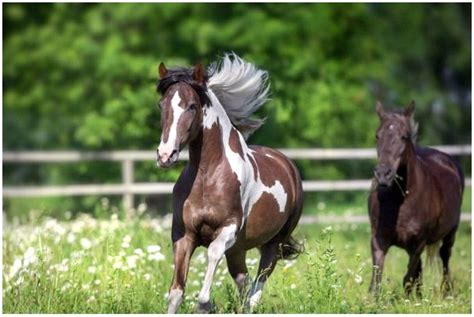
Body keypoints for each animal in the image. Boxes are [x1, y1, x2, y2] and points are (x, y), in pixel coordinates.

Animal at [156, 53, 304, 312]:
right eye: (161, 105)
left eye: (192, 106)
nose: (165, 155)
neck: (208, 176)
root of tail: (287, 165)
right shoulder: (183, 234)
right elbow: (175, 293)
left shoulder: (228, 229)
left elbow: (213, 253)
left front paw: (205, 303)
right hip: (238, 251)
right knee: (244, 286)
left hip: (272, 244)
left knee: (257, 288)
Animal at [368, 101, 464, 296]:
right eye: (377, 135)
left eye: (403, 137)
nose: (383, 174)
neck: (400, 201)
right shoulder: (378, 240)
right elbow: (376, 282)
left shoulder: (418, 243)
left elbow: (408, 278)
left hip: (451, 232)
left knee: (445, 258)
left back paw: (446, 292)